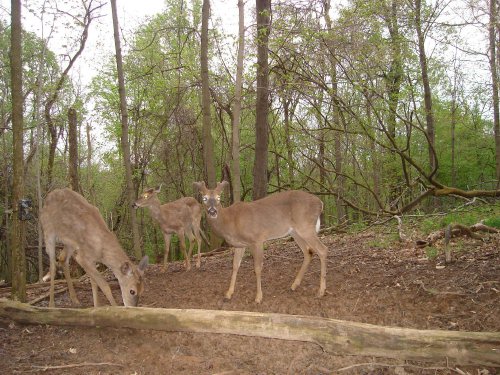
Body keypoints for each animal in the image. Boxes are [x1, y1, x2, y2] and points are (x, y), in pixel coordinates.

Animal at [192, 181, 328, 306]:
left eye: (218, 197)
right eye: (204, 198)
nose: (212, 211)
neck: (230, 221)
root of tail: (320, 203)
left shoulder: (257, 239)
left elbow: (257, 268)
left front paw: (258, 297)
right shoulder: (240, 245)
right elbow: (235, 265)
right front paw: (228, 293)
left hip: (305, 226)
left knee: (322, 250)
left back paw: (321, 291)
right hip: (295, 232)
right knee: (308, 252)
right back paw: (294, 285)